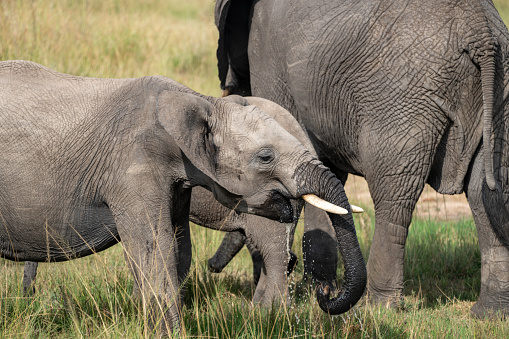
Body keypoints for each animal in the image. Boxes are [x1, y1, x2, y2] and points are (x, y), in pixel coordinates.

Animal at [1, 61, 364, 334]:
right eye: (265, 157)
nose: (324, 297)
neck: (198, 101)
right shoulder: (136, 167)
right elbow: (162, 248)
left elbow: (169, 248)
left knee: (273, 254)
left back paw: (264, 320)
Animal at [214, 0, 508, 318]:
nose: (212, 267)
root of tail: (478, 30)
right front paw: (318, 289)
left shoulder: (267, 52)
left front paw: (309, 293)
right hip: (500, 85)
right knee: (486, 193)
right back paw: (489, 314)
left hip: (401, 100)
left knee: (393, 197)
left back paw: (376, 308)